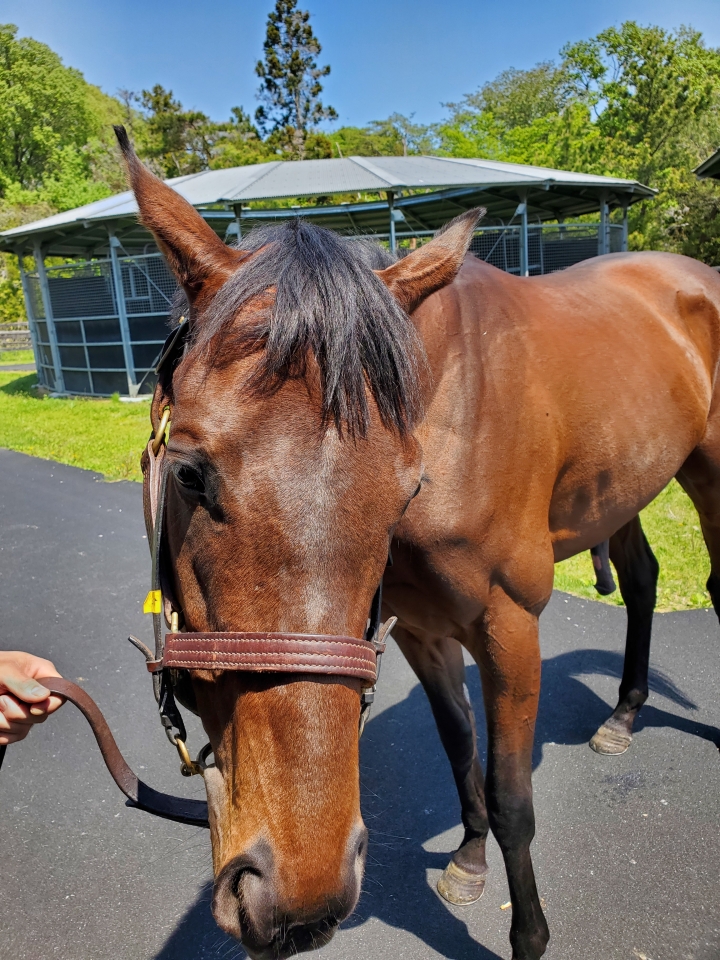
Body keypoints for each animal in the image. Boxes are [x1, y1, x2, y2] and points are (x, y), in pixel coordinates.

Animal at [116, 127, 720, 960]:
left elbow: (510, 795)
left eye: (406, 488)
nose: (297, 896)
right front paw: (467, 863)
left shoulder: (510, 627)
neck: (456, 408)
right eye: (188, 473)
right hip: (621, 490)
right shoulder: (421, 631)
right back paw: (624, 715)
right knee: (642, 578)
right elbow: (460, 750)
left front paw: (528, 935)